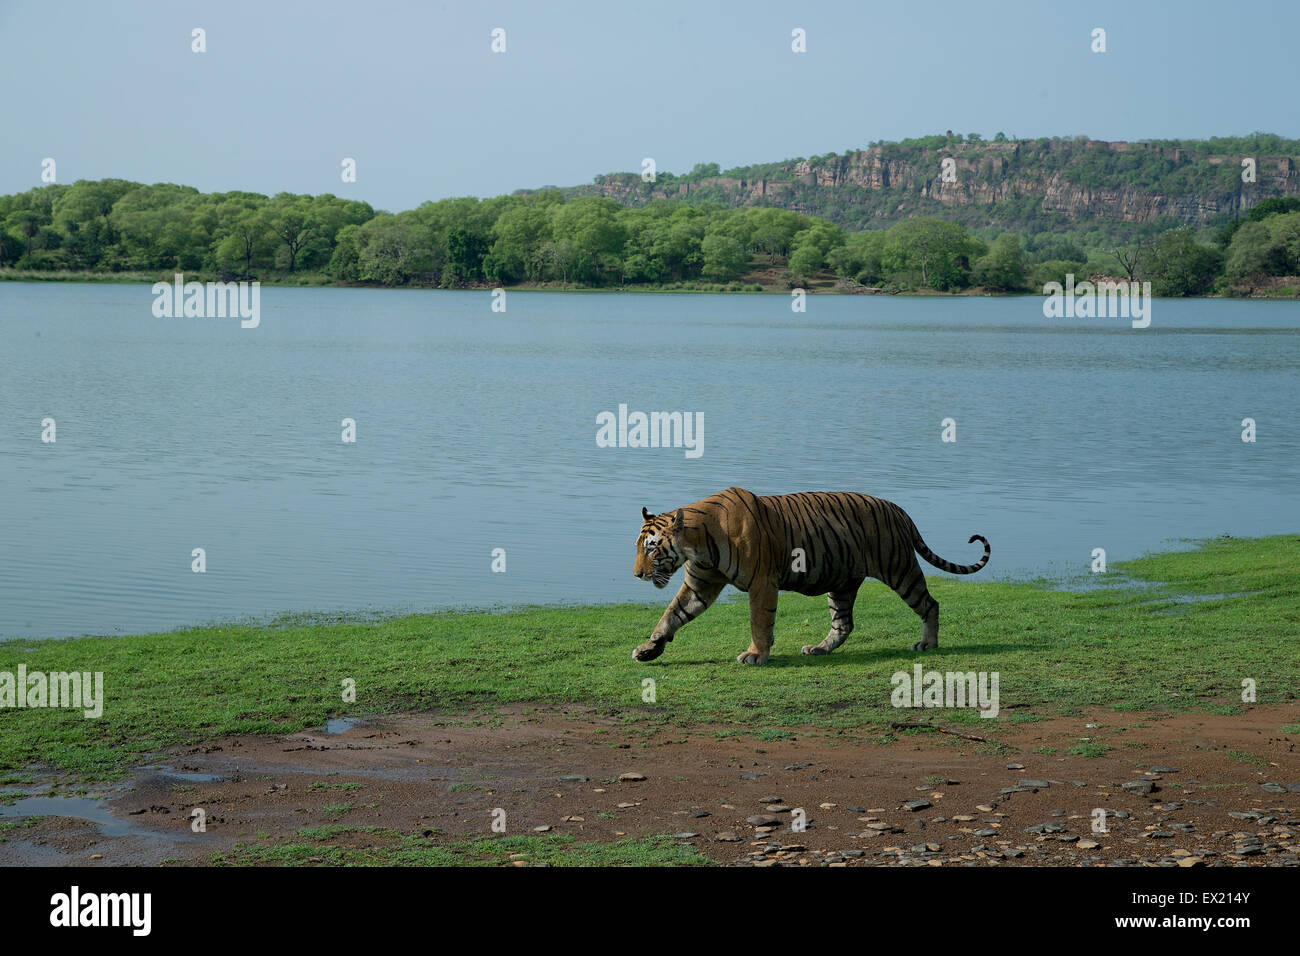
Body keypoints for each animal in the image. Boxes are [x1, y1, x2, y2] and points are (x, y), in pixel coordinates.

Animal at [629, 486, 982, 665]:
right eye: (640, 548)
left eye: (651, 549)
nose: (636, 574)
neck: (698, 542)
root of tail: (899, 509)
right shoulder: (700, 585)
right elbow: (671, 616)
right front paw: (649, 649)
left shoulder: (762, 583)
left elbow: (759, 621)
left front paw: (756, 654)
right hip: (842, 584)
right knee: (843, 624)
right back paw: (820, 649)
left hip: (900, 569)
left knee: (930, 603)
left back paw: (928, 643)